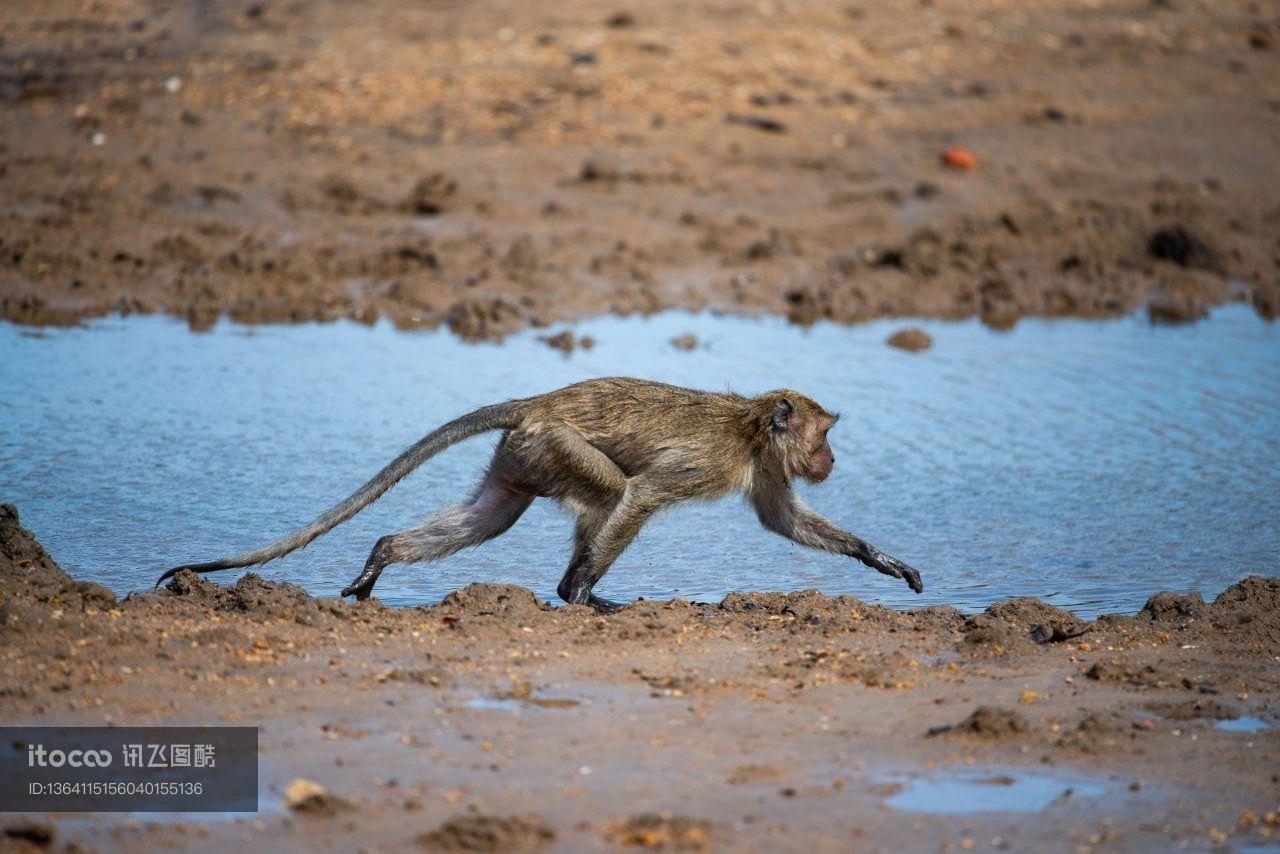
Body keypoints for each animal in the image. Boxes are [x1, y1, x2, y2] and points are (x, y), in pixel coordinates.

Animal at [157, 376, 921, 612]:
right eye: (824, 435)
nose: (831, 456)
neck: (752, 426)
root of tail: (538, 400)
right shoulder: (712, 461)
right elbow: (644, 494)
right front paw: (582, 593)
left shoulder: (762, 466)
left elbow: (781, 518)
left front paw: (881, 561)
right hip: (554, 443)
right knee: (611, 491)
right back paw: (574, 591)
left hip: (522, 456)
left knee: (491, 516)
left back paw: (383, 555)